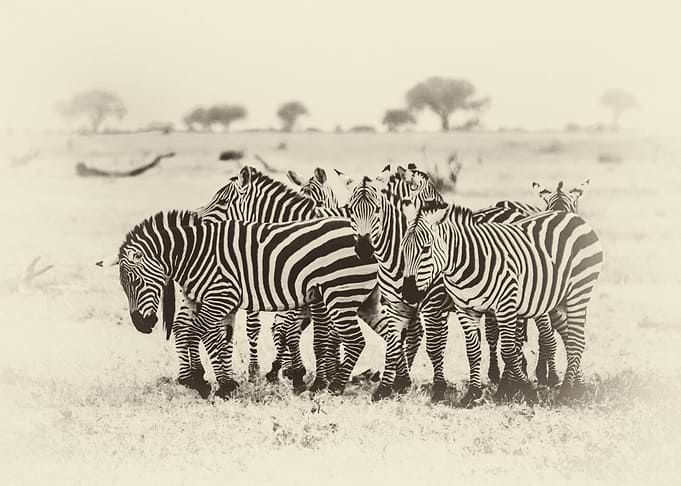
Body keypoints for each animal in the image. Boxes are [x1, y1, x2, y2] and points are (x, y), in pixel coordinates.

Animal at [114, 210, 377, 398]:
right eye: (123, 286)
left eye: (135, 282)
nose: (141, 325)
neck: (194, 253)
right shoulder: (211, 299)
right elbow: (212, 337)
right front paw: (223, 383)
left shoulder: (221, 295)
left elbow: (196, 333)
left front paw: (199, 381)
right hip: (354, 296)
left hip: (341, 293)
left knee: (356, 340)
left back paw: (334, 388)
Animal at [400, 200, 603, 403]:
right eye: (403, 249)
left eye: (426, 248)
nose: (409, 294)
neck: (464, 264)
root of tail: (572, 216)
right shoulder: (465, 310)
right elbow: (472, 351)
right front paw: (472, 394)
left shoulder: (505, 305)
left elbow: (508, 351)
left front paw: (527, 390)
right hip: (557, 300)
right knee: (572, 339)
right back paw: (579, 388)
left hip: (578, 291)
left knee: (575, 340)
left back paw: (566, 392)